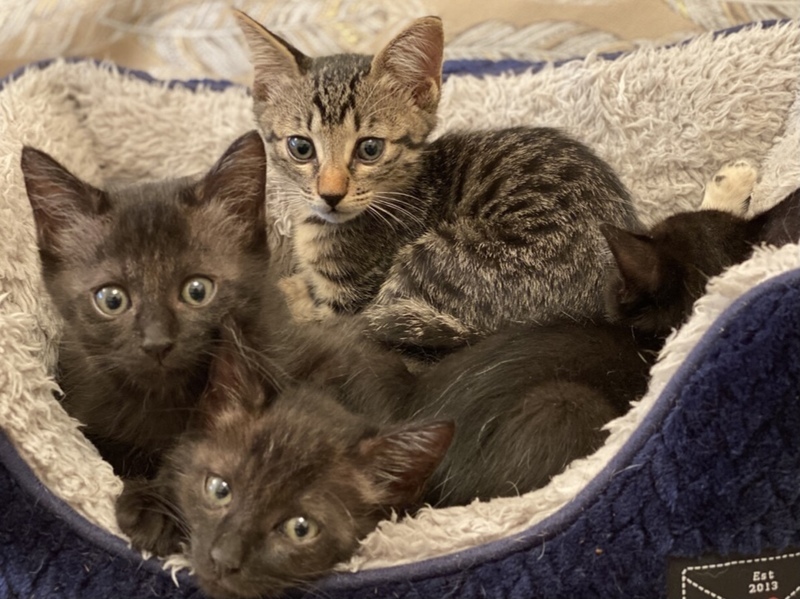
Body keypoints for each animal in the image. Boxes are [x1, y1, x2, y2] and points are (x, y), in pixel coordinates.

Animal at [235, 11, 640, 353]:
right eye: (301, 147)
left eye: (370, 148)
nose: (330, 194)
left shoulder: (350, 301)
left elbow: (318, 320)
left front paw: (286, 294)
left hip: (435, 260)